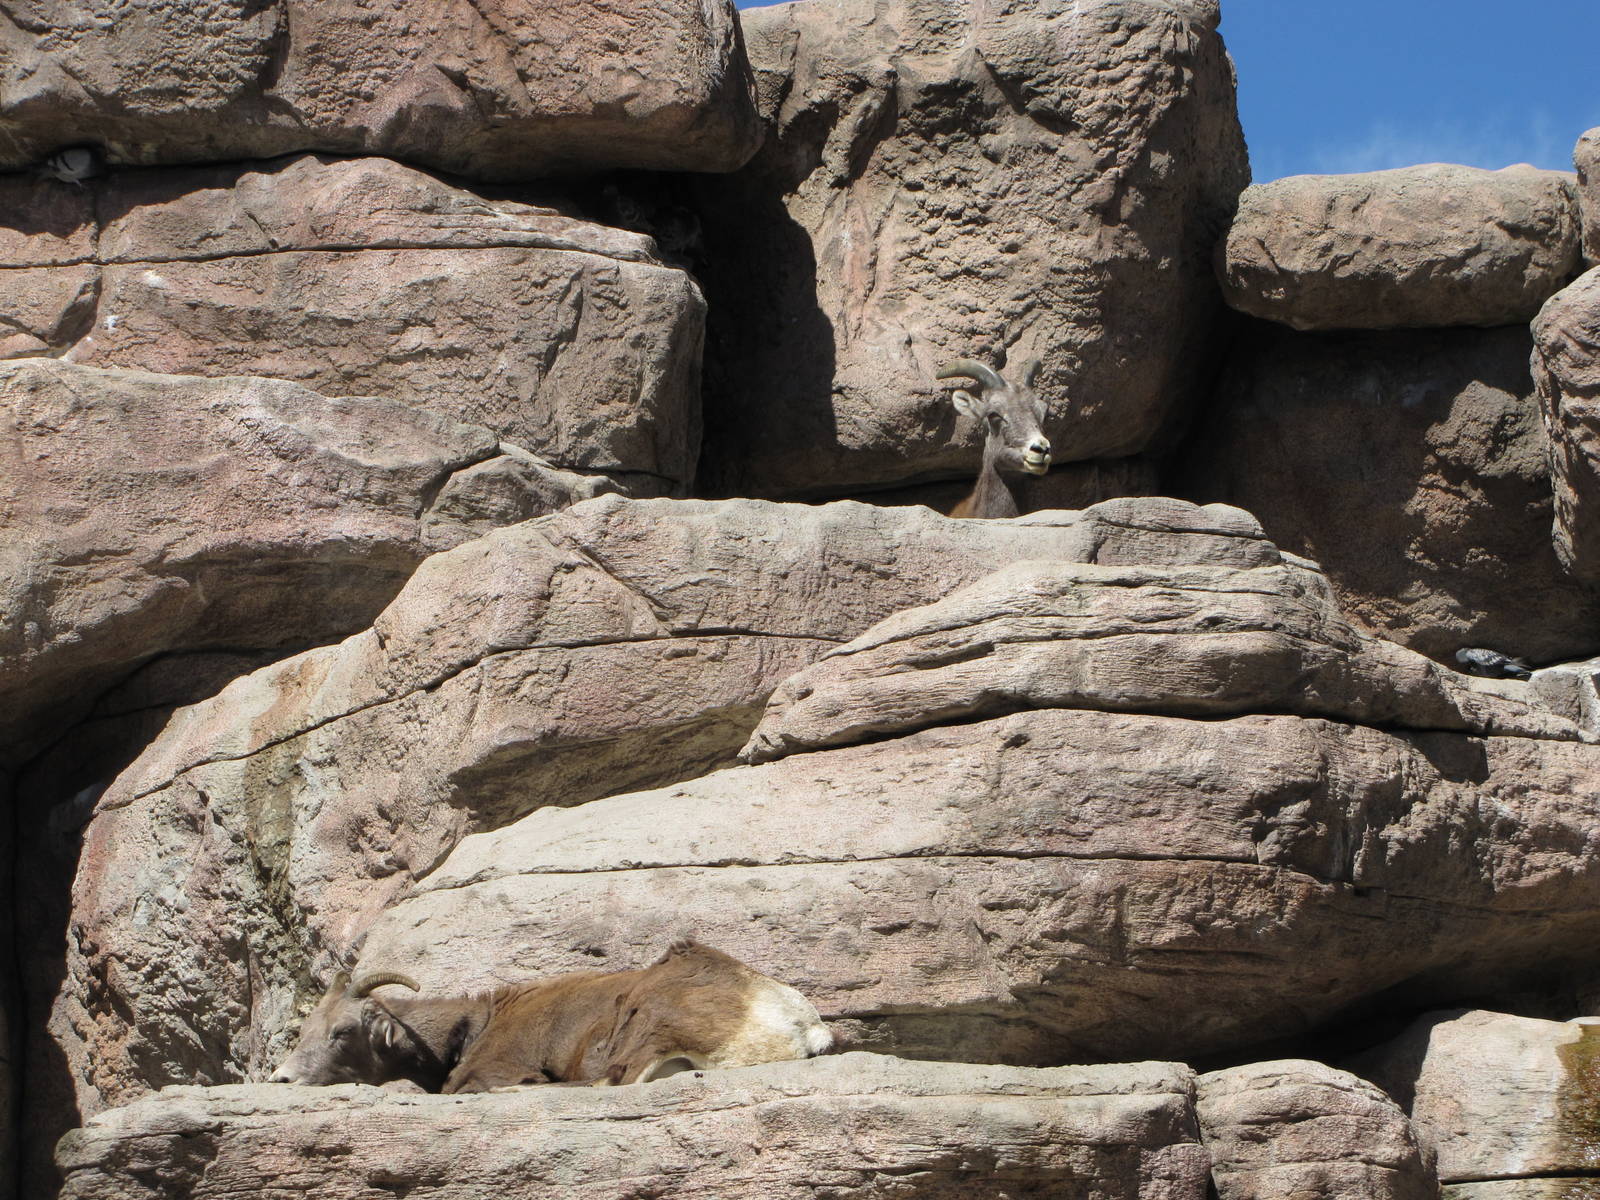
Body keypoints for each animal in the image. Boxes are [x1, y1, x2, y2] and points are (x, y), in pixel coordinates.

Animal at [269, 939, 834, 1092]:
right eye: (305, 1031)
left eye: (343, 1031)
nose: (281, 1078)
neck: (477, 1027)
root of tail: (803, 1025)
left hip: (651, 1025)